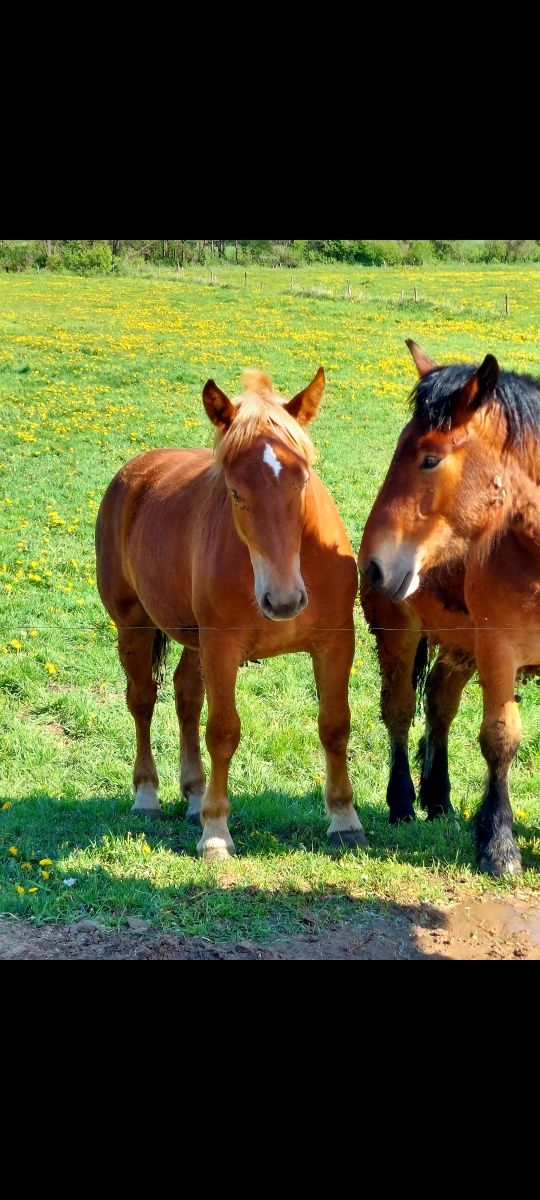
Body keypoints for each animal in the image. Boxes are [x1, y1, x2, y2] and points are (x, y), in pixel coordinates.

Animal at [94, 369, 364, 859]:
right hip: (134, 626)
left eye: (302, 482)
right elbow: (222, 732)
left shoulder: (335, 642)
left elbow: (335, 725)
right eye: (236, 493)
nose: (283, 600)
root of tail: (135, 471)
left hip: (192, 639)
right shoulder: (222, 648)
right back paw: (147, 795)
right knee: (142, 699)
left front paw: (344, 820)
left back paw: (193, 794)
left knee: (185, 696)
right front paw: (216, 831)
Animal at [357, 343, 540, 878]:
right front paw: (498, 844)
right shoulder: (499, 653)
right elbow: (500, 738)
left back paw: (438, 799)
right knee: (398, 712)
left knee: (439, 705)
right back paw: (403, 801)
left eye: (430, 459)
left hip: (459, 648)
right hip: (398, 636)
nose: (374, 565)